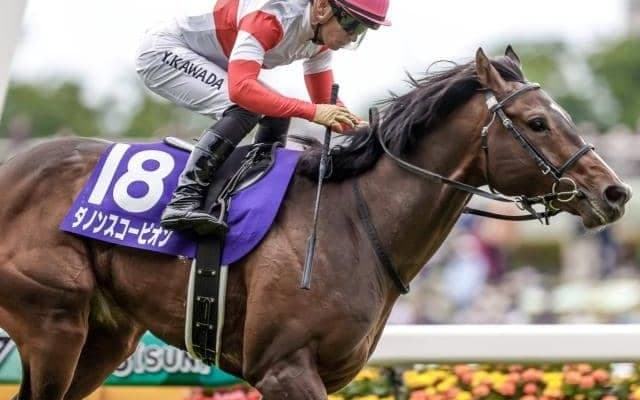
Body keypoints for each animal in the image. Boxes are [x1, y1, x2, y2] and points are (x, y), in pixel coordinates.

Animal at [0, 47, 631, 400]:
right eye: (538, 122)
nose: (615, 192)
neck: (354, 222)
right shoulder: (284, 368)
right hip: (55, 322)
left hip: (105, 335)